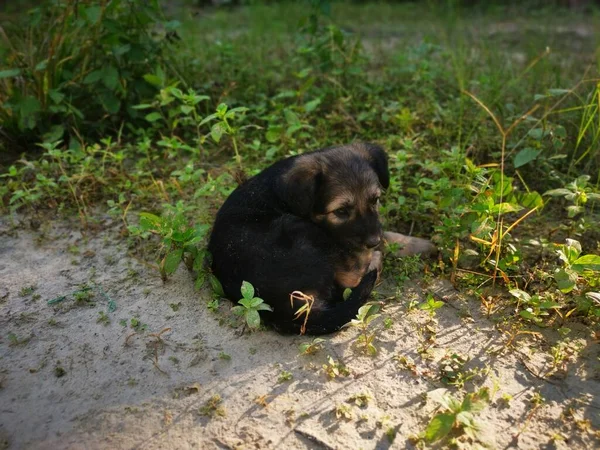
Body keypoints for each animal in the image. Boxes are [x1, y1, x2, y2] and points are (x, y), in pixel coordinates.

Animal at [209, 143, 434, 334]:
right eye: (341, 211)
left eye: (375, 200)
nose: (373, 241)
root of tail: (284, 310)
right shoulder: (341, 240)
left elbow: (386, 234)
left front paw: (420, 245)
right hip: (303, 231)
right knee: (351, 278)